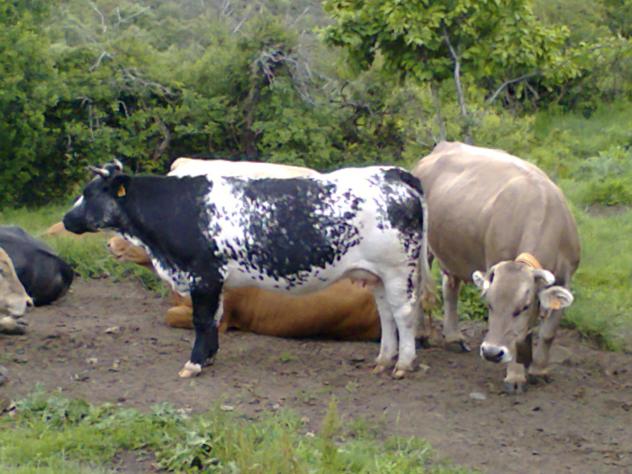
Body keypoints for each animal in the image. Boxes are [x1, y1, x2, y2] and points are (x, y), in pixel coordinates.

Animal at [412, 141, 580, 393]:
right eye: (489, 304)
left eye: (524, 307)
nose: (491, 353)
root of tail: (443, 147)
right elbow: (520, 339)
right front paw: (515, 377)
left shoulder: (565, 279)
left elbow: (548, 332)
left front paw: (539, 370)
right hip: (421, 245)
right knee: (418, 285)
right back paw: (419, 334)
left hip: (451, 251)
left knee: (450, 288)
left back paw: (453, 338)